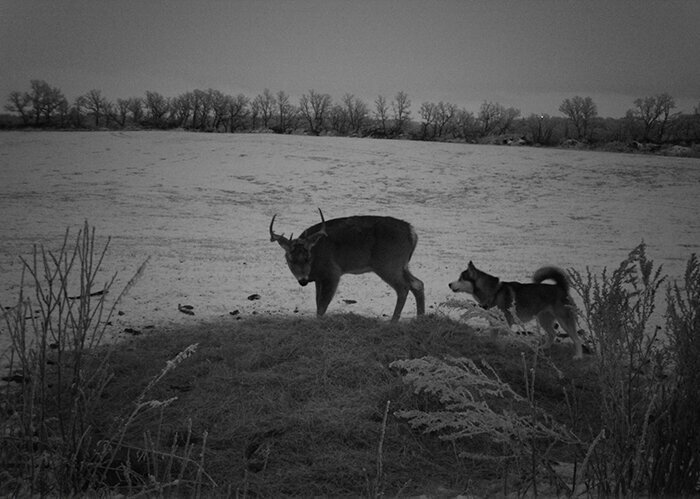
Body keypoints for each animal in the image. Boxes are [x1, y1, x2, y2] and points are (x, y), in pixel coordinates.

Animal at [270, 209, 426, 322]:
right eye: (290, 259)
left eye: (308, 258)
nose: (302, 281)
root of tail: (412, 232)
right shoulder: (319, 279)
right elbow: (317, 302)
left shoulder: (332, 272)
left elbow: (322, 306)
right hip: (402, 265)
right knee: (418, 283)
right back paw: (420, 318)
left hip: (388, 263)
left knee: (404, 287)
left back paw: (393, 321)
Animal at [448, 262, 584, 360]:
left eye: (461, 278)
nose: (449, 284)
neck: (494, 292)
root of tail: (561, 287)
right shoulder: (494, 322)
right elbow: (492, 336)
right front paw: (491, 346)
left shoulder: (506, 322)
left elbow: (503, 336)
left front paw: (501, 348)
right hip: (544, 319)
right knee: (552, 334)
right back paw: (543, 348)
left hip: (564, 320)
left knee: (576, 339)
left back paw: (578, 356)